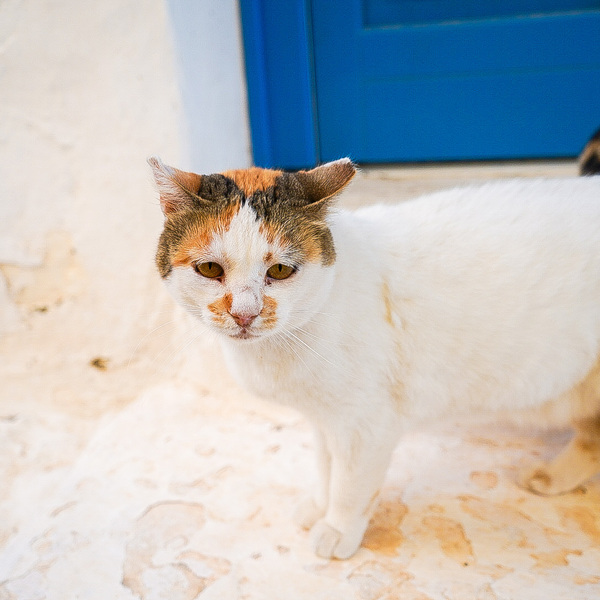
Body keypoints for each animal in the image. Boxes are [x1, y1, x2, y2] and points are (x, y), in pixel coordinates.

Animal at [149, 157, 600, 560]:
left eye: (279, 270)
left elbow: (350, 486)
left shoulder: (365, 426)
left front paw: (336, 528)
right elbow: (325, 467)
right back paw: (552, 477)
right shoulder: (324, 420)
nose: (245, 313)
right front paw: (319, 506)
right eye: (210, 269)